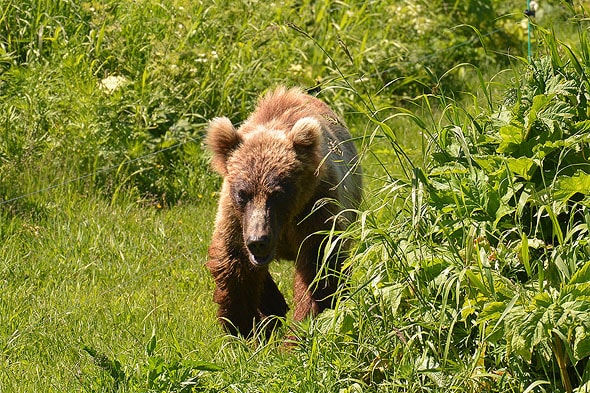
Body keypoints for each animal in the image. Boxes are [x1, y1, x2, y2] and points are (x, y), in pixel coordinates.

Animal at [206, 86, 364, 336]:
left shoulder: (316, 207)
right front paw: (243, 326)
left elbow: (318, 267)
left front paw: (301, 329)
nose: (258, 241)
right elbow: (235, 264)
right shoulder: (235, 216)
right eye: (243, 192)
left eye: (278, 193)